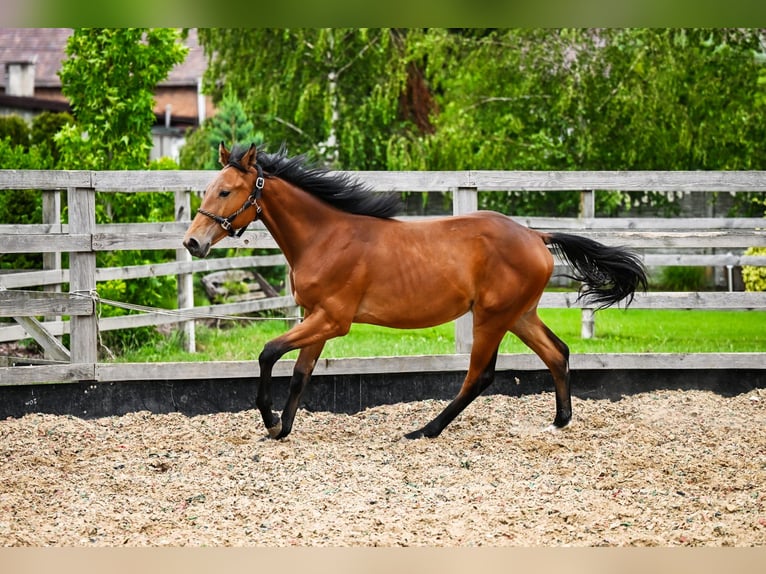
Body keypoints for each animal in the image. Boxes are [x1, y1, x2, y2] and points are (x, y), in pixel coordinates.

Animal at [183, 142, 647, 440]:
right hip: (519, 315)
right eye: (208, 189)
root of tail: (536, 235)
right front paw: (283, 428)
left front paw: (268, 420)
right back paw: (560, 420)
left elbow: (268, 353)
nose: (192, 243)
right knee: (557, 352)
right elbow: (300, 373)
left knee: (480, 375)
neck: (325, 237)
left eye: (226, 191)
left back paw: (424, 430)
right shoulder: (316, 318)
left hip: (492, 317)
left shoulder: (333, 319)